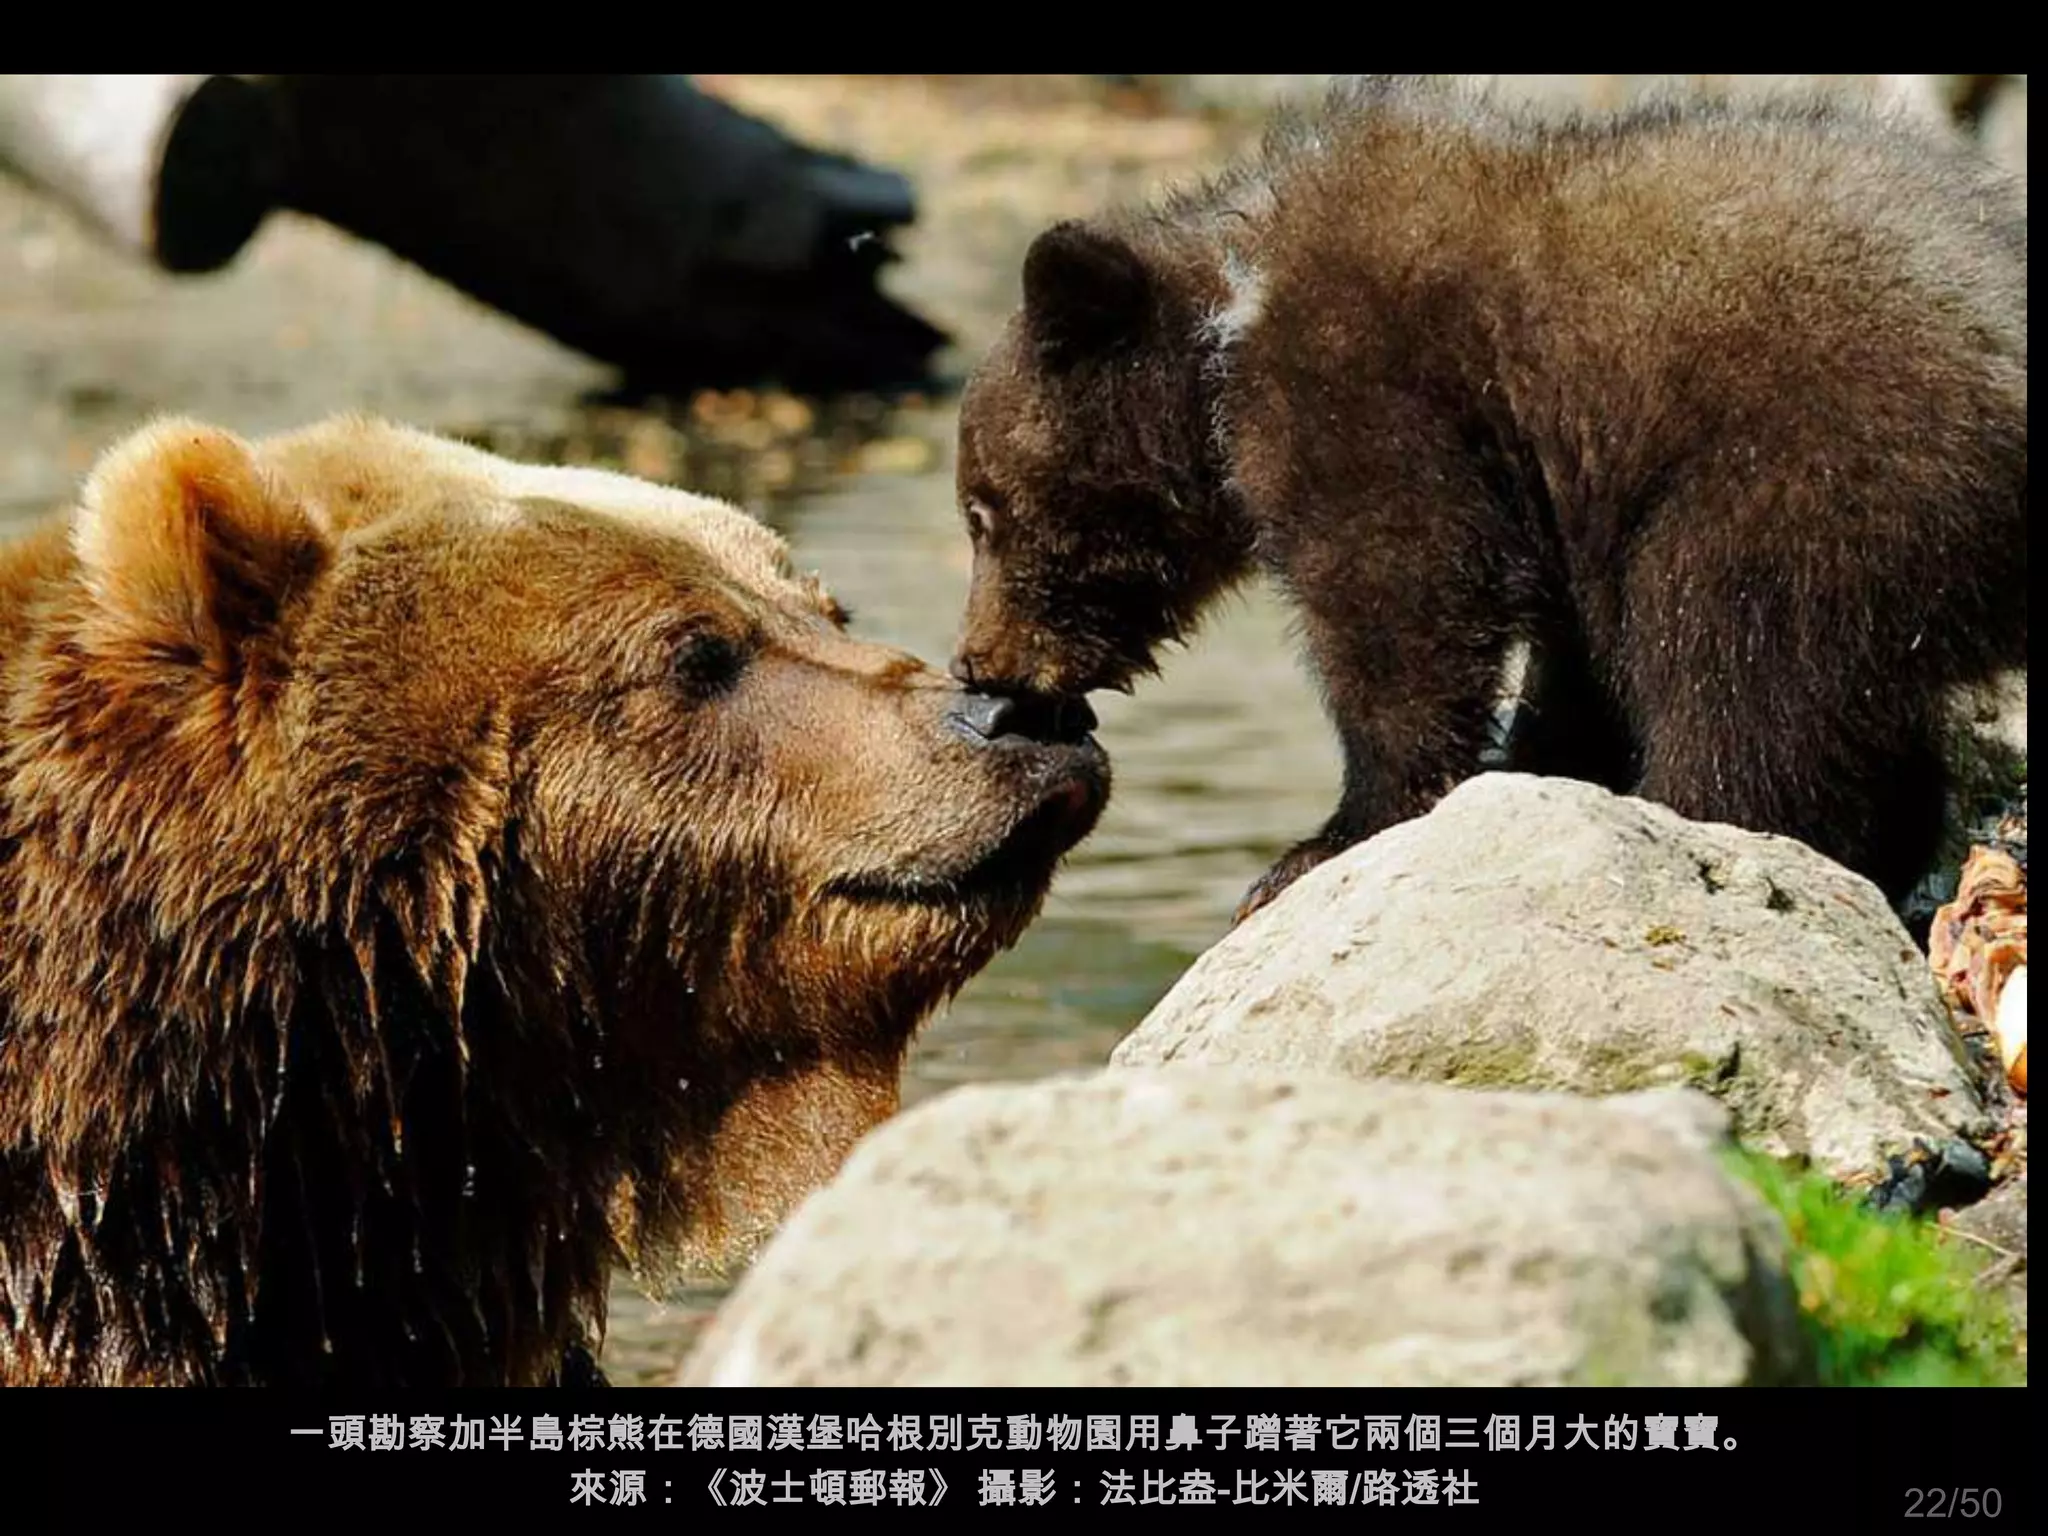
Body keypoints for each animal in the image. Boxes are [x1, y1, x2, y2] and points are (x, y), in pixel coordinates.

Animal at [950, 75, 2027, 923]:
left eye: (980, 513)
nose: (974, 662)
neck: (1224, 339)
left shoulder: (1372, 392)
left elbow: (1403, 604)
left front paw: (1315, 845)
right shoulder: (1557, 490)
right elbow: (1567, 656)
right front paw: (1535, 761)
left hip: (1812, 462)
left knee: (1733, 657)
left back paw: (1702, 813)